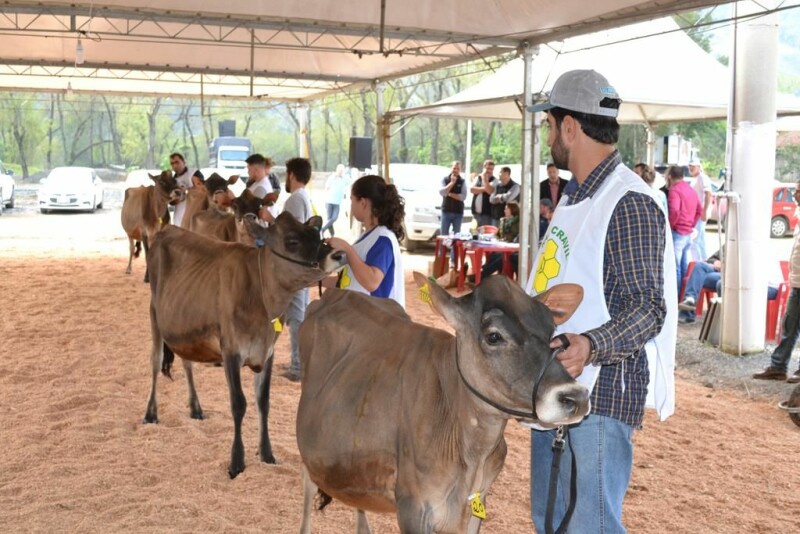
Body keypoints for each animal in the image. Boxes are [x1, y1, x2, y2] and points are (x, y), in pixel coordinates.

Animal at [144, 211, 344, 480]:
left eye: (317, 234)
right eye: (292, 240)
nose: (339, 254)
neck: (261, 297)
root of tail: (167, 229)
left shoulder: (267, 352)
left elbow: (263, 402)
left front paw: (267, 454)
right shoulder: (231, 351)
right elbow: (239, 404)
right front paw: (236, 462)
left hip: (183, 325)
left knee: (187, 363)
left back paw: (195, 408)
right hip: (154, 314)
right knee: (155, 363)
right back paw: (150, 413)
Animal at [296, 274, 592, 532]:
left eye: (552, 331)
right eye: (493, 336)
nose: (576, 397)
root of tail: (337, 293)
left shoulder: (477, 504)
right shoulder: (414, 508)